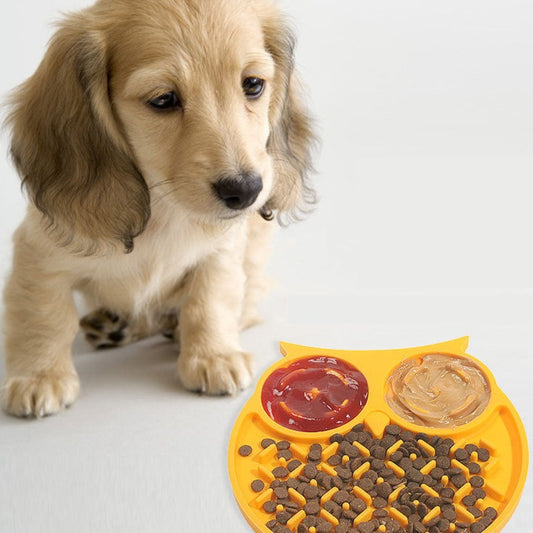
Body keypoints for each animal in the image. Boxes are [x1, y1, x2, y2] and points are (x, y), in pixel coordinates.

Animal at [2, 0, 314, 416]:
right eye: (163, 99)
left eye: (253, 85)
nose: (245, 190)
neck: (163, 209)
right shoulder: (39, 258)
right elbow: (44, 318)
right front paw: (39, 376)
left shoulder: (222, 252)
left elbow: (210, 300)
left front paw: (213, 355)